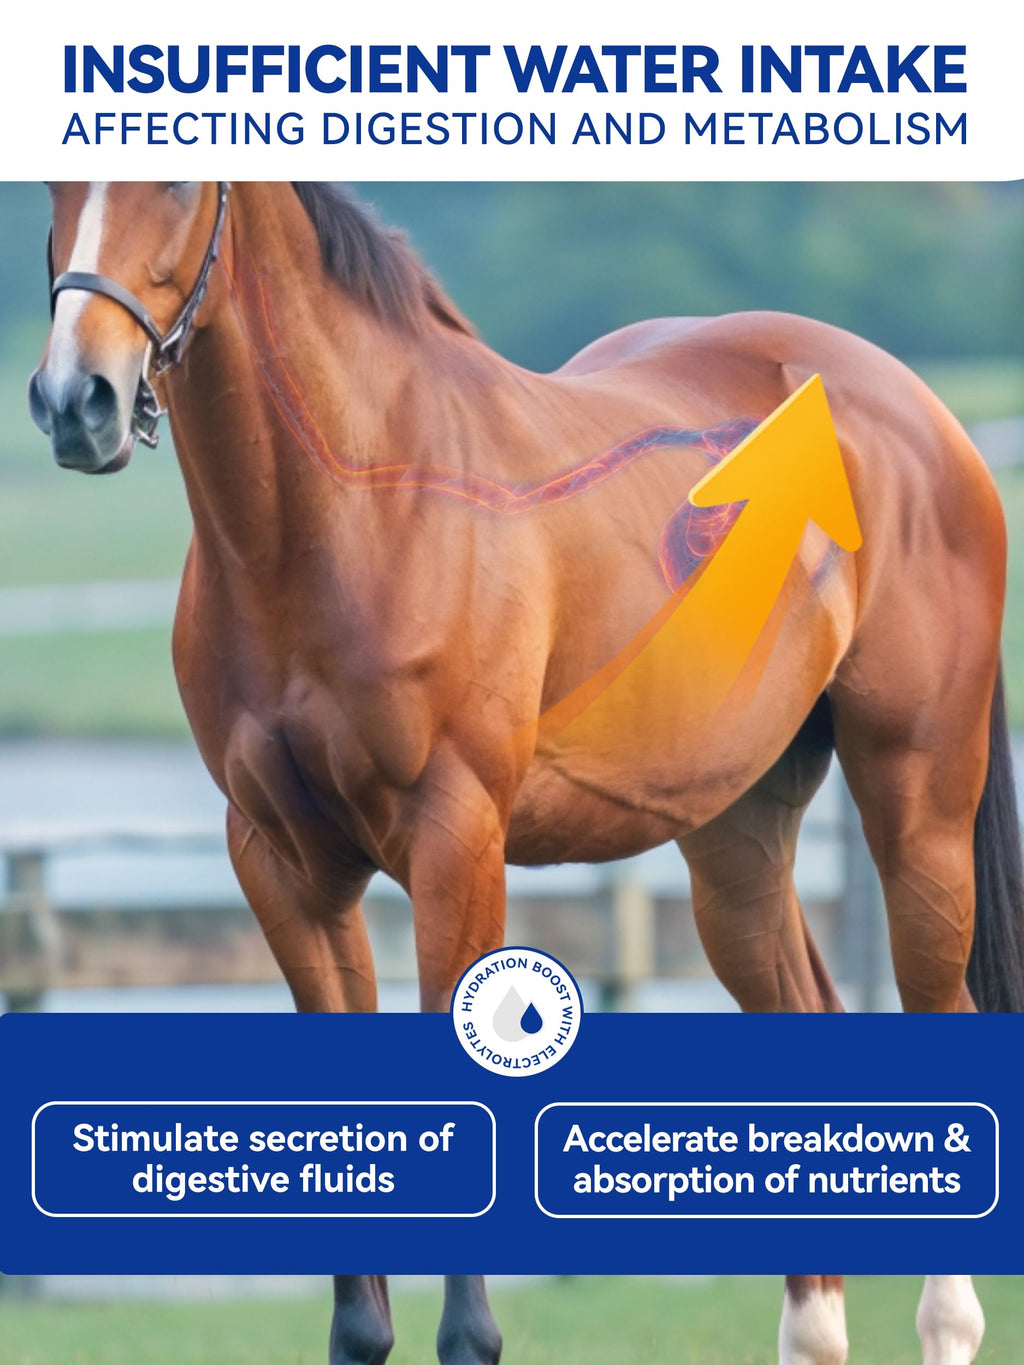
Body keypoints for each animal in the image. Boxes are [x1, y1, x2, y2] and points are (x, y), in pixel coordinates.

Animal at [28, 181, 1024, 1365]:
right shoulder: (281, 867)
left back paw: (948, 1320)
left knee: (940, 1014)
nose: (75, 399)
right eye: (51, 188)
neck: (354, 505)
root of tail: (919, 414)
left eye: (182, 183)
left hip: (919, 803)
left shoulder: (458, 844)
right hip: (735, 834)